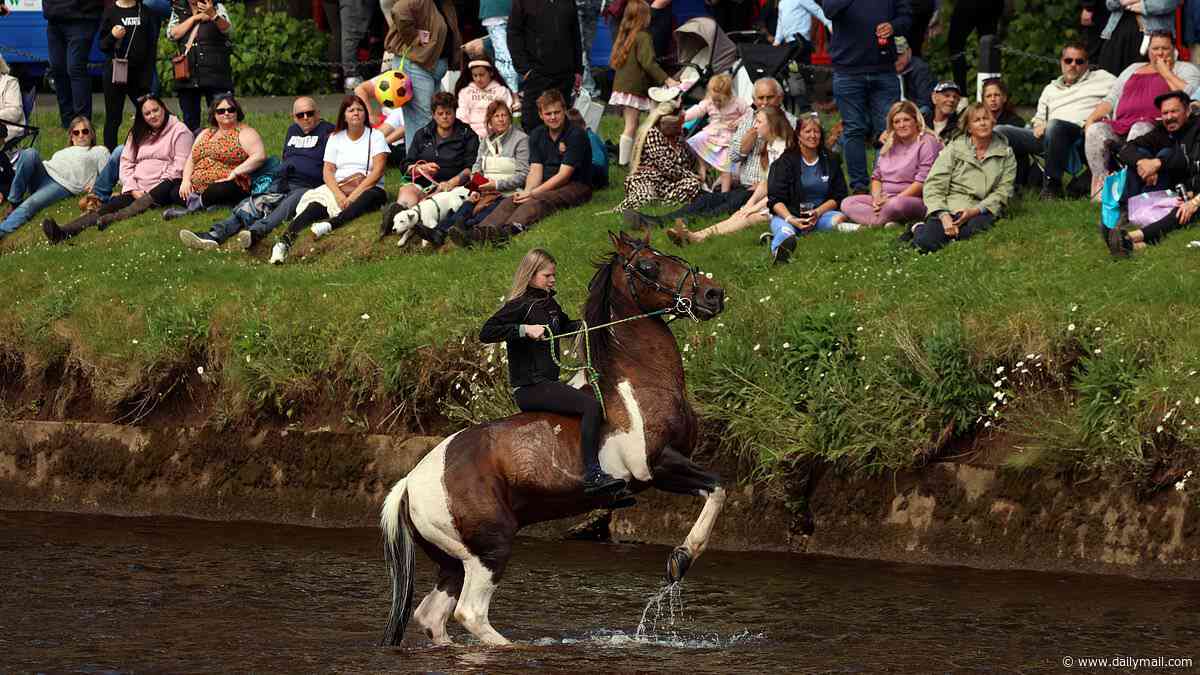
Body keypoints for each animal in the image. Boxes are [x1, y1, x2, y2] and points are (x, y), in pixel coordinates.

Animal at [379, 231, 727, 647]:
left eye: (670, 254)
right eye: (648, 266)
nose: (713, 294)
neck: (639, 380)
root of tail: (409, 482)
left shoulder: (671, 466)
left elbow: (715, 490)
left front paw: (678, 563)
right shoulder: (658, 466)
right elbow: (719, 487)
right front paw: (680, 559)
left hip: (452, 560)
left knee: (431, 616)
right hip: (490, 549)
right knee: (470, 613)